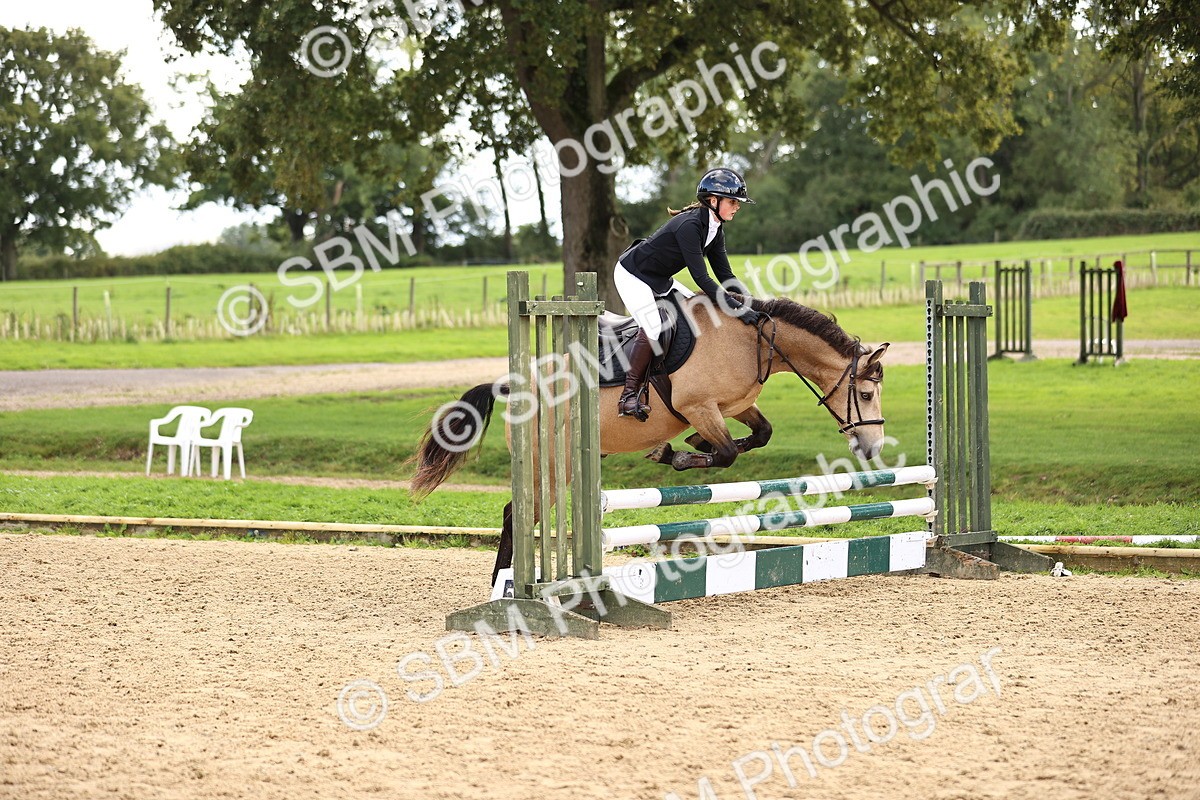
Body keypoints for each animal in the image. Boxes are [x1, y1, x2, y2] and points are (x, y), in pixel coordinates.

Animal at [410, 294, 889, 584]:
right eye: (865, 395)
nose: (871, 449)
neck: (750, 341)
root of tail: (512, 386)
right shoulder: (700, 406)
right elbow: (727, 453)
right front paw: (675, 454)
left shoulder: (732, 407)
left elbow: (759, 434)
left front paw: (685, 446)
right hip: (552, 463)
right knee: (518, 514)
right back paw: (504, 586)